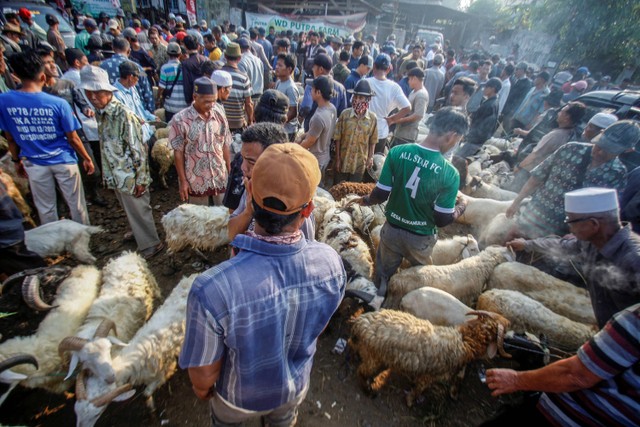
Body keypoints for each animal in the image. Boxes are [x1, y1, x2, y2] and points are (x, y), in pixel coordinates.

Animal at [74, 274, 198, 427]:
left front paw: (152, 411)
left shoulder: (164, 370)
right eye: (76, 412)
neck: (135, 356)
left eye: (97, 413)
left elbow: (146, 394)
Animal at [350, 310, 510, 406]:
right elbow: (419, 388)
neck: (464, 340)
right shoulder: (429, 376)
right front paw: (410, 401)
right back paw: (369, 391)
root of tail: (359, 323)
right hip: (374, 357)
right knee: (361, 372)